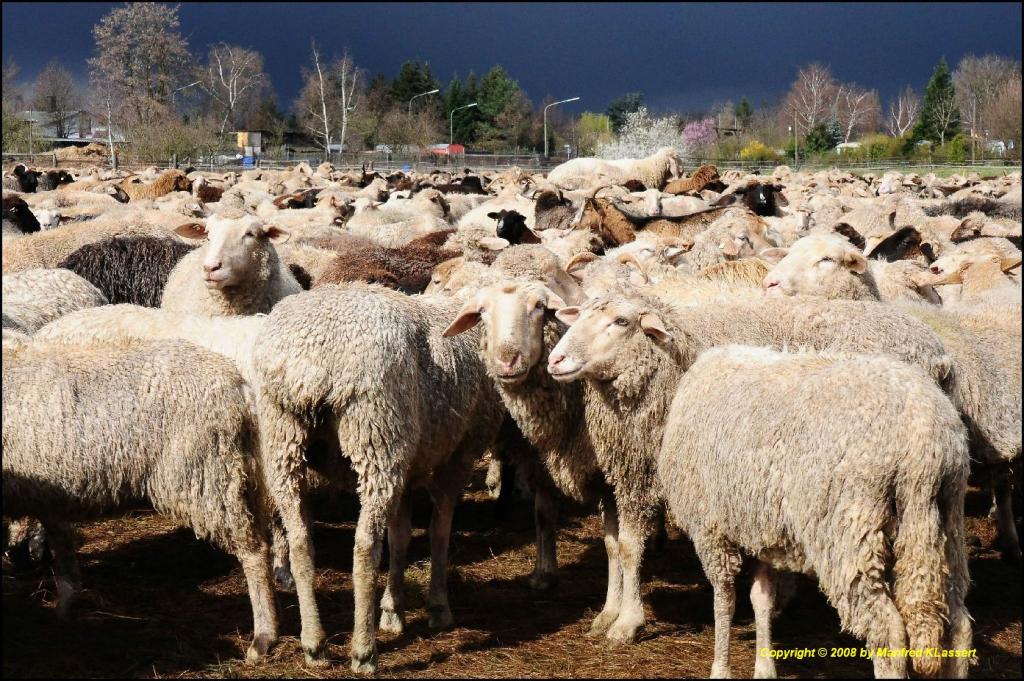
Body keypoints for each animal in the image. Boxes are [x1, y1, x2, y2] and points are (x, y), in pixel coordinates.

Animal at [2, 338, 279, 663]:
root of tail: (238, 385)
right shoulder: (50, 494)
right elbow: (64, 555)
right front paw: (65, 607)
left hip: (206, 473)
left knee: (254, 550)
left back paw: (263, 638)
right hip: (236, 471)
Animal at [252, 282, 505, 672]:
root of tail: (311, 361)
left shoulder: (409, 466)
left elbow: (400, 536)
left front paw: (393, 610)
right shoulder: (456, 457)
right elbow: (438, 531)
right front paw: (438, 607)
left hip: (283, 438)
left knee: (300, 542)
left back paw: (314, 645)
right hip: (375, 434)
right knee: (365, 547)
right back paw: (363, 651)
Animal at [656, 343, 970, 679]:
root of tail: (924, 437)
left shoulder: (711, 528)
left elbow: (724, 599)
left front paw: (720, 668)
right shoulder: (764, 531)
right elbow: (762, 598)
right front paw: (764, 667)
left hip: (850, 532)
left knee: (886, 632)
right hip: (945, 522)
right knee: (959, 626)